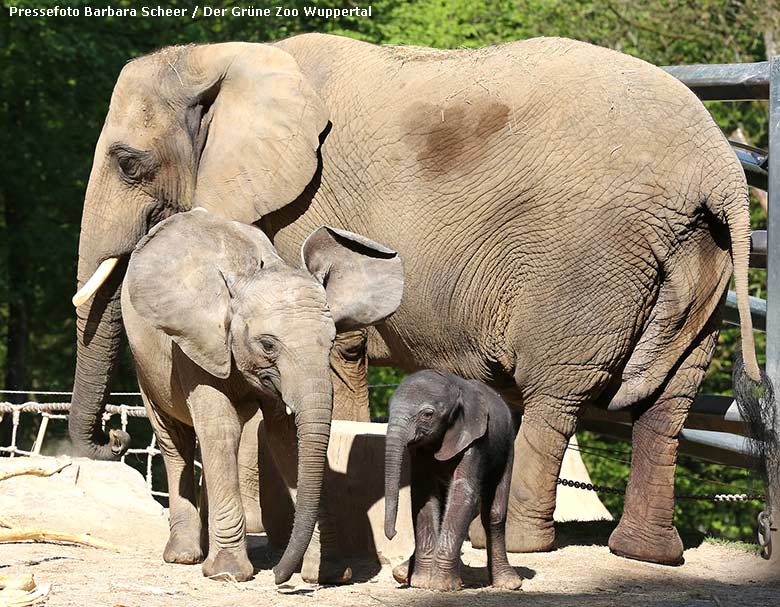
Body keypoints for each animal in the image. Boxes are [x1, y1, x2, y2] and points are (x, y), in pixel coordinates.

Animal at [123, 210, 402, 584]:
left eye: (331, 341)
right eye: (268, 345)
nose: (280, 576)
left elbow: (285, 436)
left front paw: (327, 573)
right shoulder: (197, 342)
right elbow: (221, 428)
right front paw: (228, 574)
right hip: (145, 363)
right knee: (175, 439)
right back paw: (184, 557)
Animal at [382, 368, 520, 592]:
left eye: (427, 415)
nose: (392, 533)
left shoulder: (475, 440)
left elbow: (463, 495)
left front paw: (441, 585)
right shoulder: (420, 450)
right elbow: (423, 496)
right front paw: (421, 582)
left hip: (507, 446)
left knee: (493, 514)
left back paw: (509, 583)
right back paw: (402, 573)